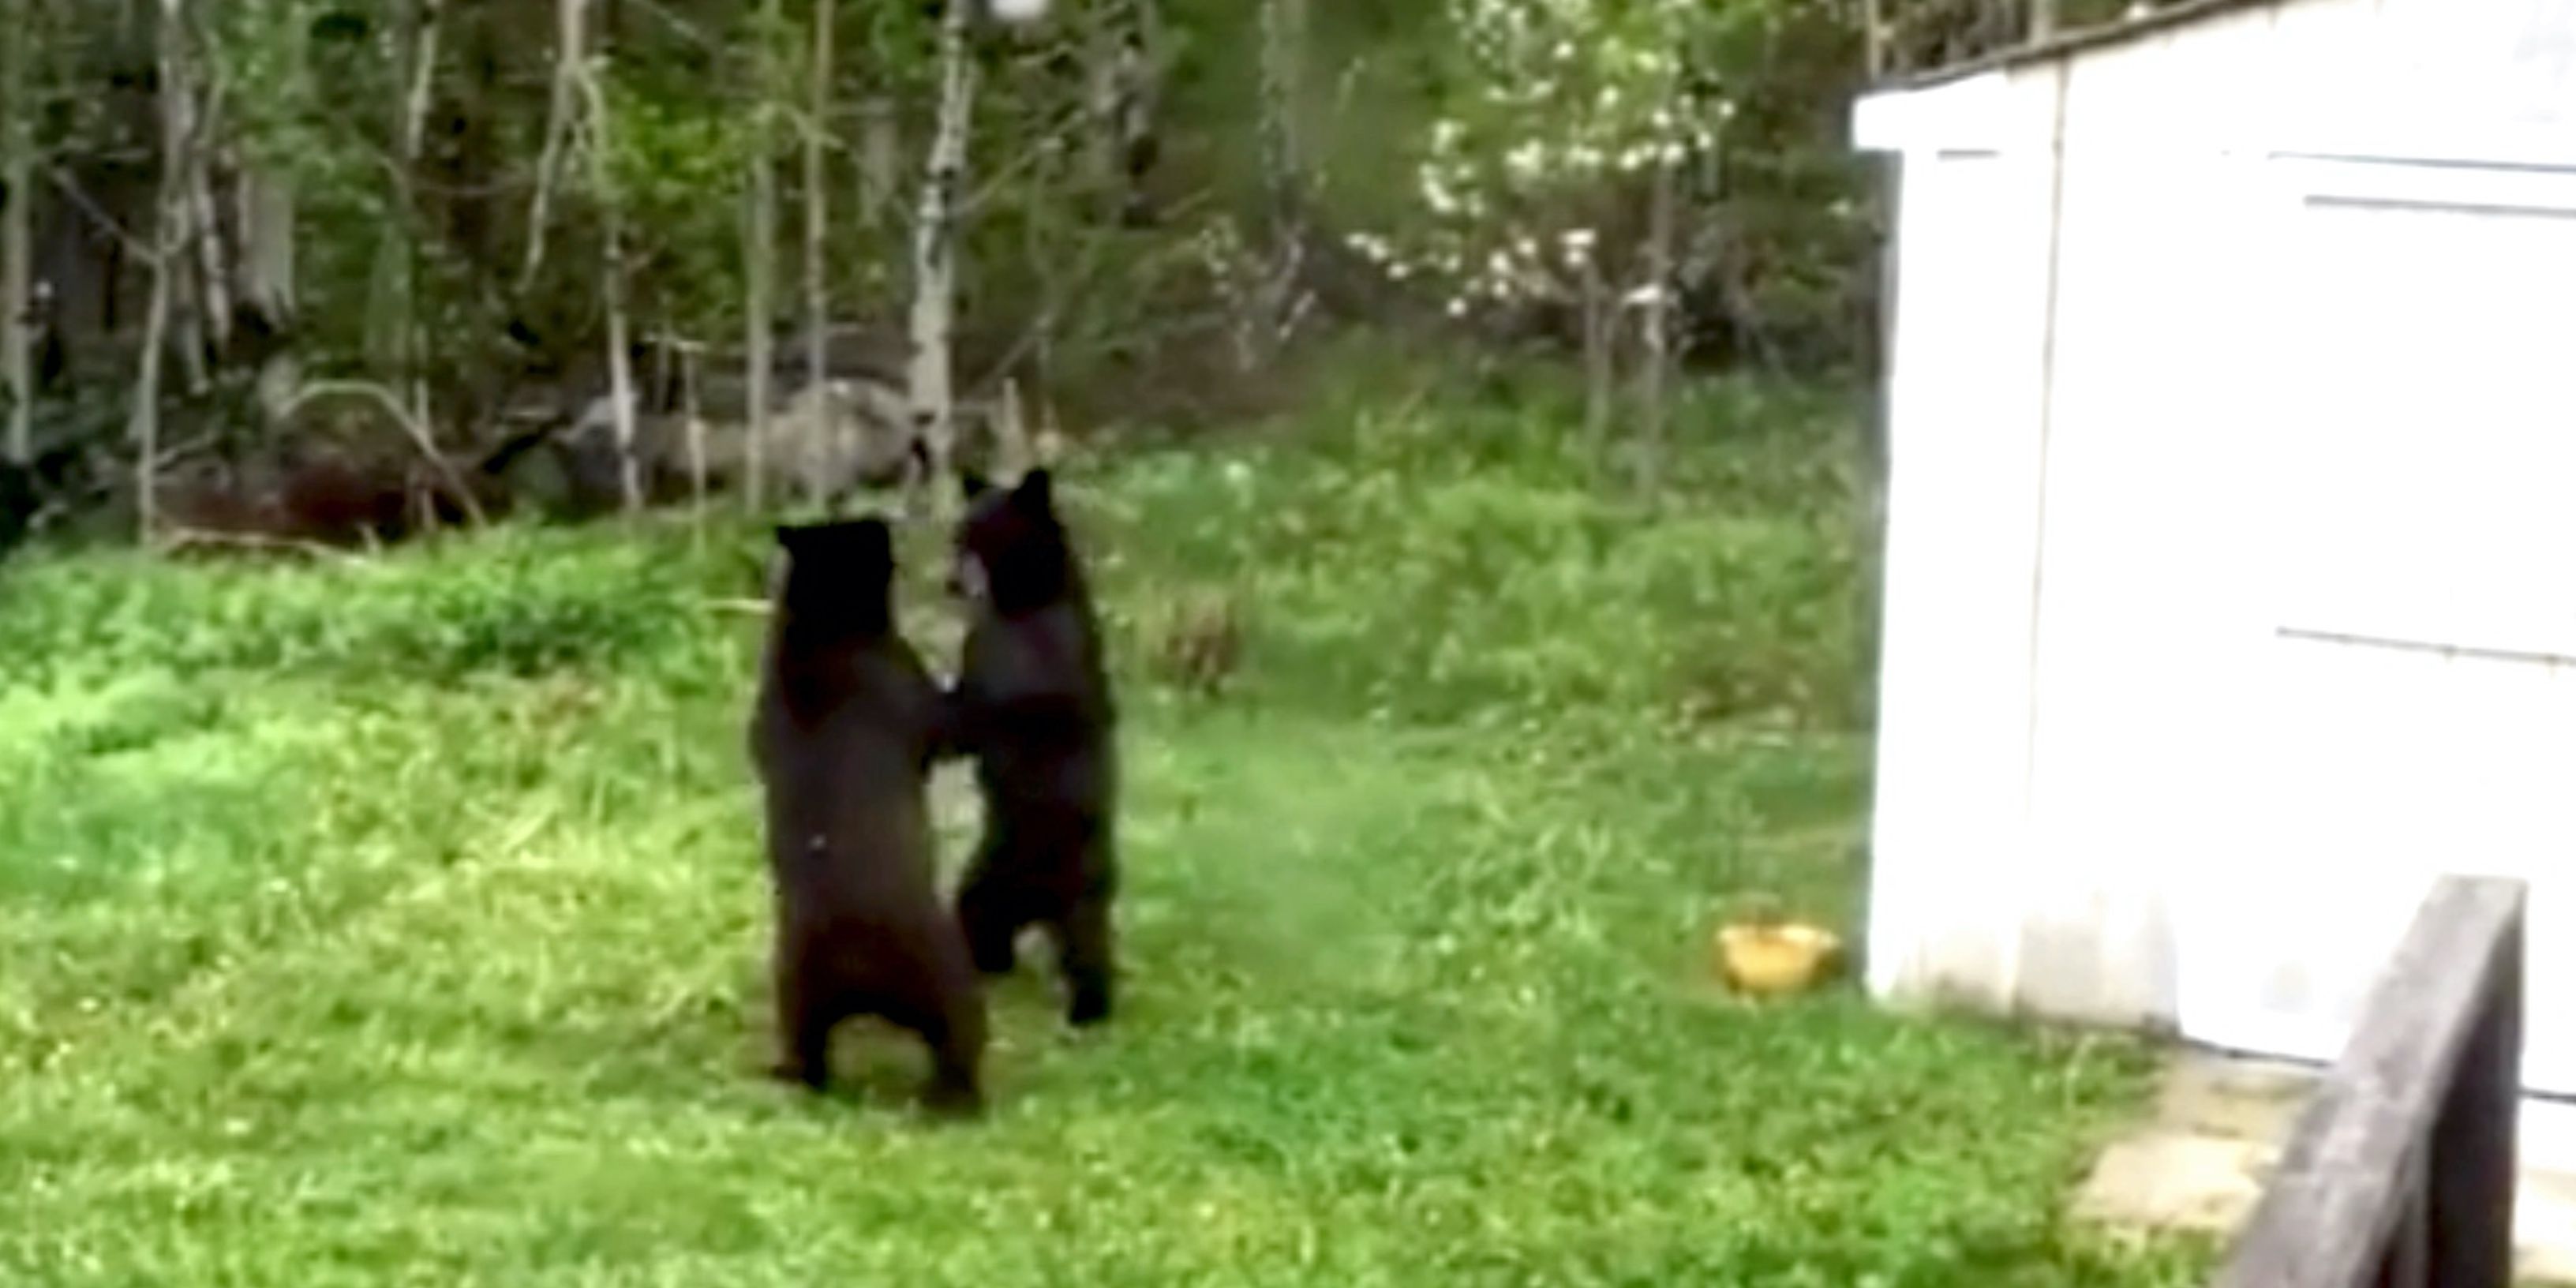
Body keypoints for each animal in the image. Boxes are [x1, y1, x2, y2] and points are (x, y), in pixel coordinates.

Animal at [750, 515, 988, 1114]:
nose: (882, 520)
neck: (821, 626)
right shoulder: (924, 704)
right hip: (952, 980)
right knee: (958, 1049)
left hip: (794, 987)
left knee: (805, 1052)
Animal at [941, 468, 1123, 1027]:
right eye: (958, 533)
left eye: (980, 537)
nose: (951, 581)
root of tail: (1039, 903)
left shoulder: (1006, 654)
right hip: (1020, 886)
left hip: (1024, 878)